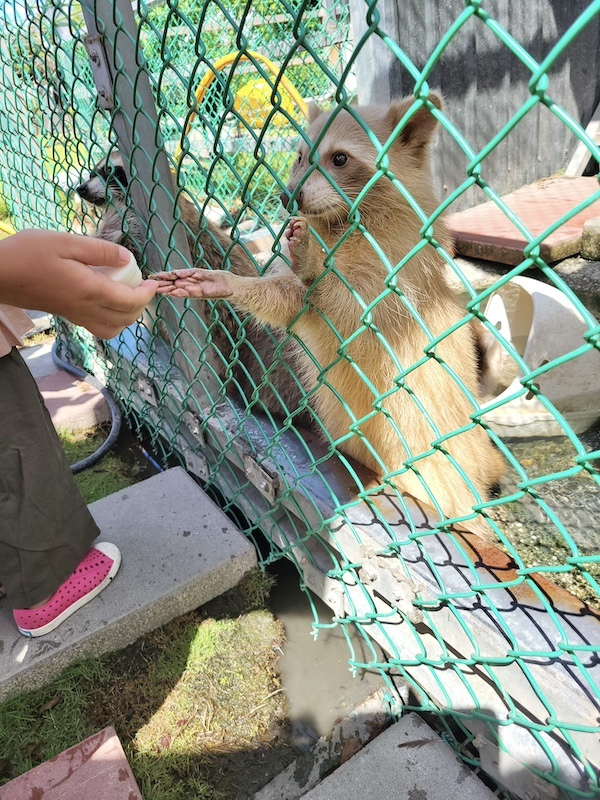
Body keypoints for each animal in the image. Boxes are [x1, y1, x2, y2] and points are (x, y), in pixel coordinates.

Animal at [155, 98, 506, 536]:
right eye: (299, 157)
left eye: (340, 159)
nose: (287, 196)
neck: (342, 221)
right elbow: (290, 301)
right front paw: (234, 281)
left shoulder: (395, 277)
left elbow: (341, 306)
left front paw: (306, 269)